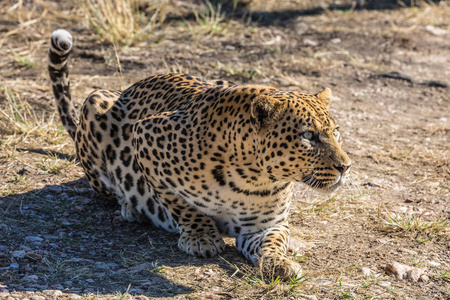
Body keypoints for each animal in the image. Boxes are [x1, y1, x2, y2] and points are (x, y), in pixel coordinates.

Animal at [49, 29, 352, 280]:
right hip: (95, 103)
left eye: (336, 132)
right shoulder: (145, 138)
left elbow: (274, 242)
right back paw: (131, 207)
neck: (253, 178)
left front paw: (280, 264)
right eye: (308, 136)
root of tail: (126, 88)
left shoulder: (264, 226)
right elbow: (180, 204)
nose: (345, 166)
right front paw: (201, 237)